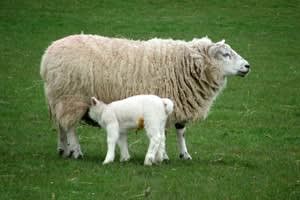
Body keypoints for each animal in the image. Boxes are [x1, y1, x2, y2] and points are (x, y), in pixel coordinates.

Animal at [40, 34, 251, 159]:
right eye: (225, 54)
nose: (247, 66)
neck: (185, 65)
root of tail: (48, 53)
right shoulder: (165, 102)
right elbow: (164, 132)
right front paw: (163, 156)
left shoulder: (179, 104)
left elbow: (181, 131)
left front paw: (184, 155)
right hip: (71, 97)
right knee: (70, 127)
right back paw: (76, 151)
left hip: (59, 98)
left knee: (61, 125)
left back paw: (63, 149)